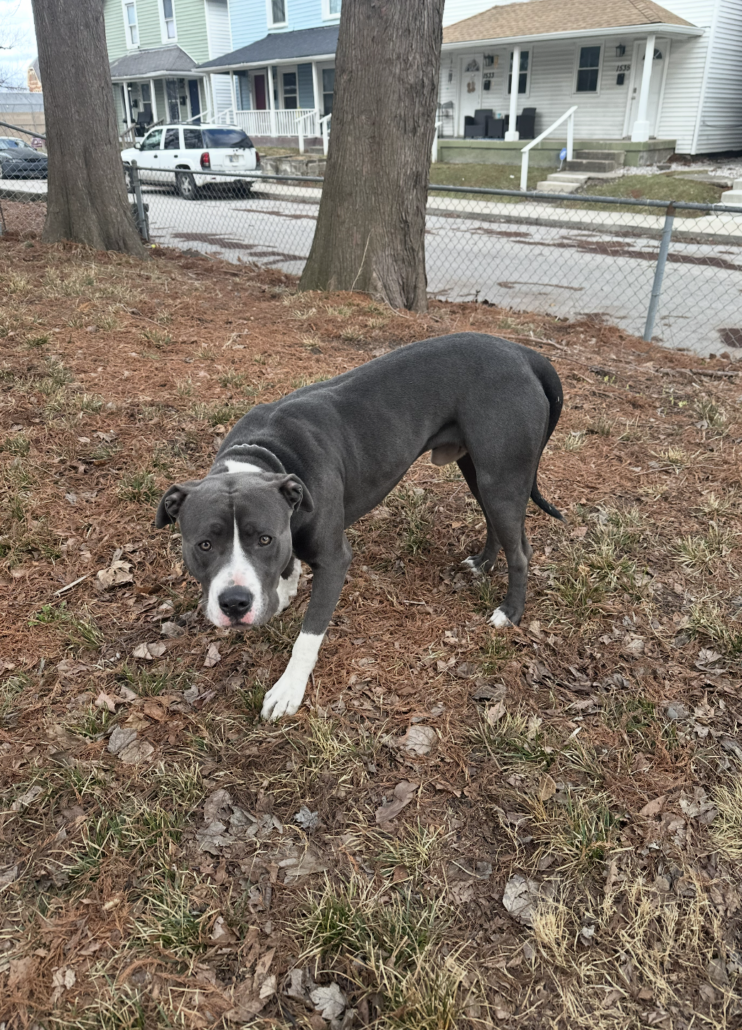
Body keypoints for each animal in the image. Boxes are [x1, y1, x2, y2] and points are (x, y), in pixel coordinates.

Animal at [156, 332, 563, 721]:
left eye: (264, 539)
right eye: (204, 544)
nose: (236, 603)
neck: (266, 455)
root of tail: (522, 352)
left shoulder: (334, 560)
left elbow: (308, 636)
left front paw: (288, 690)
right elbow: (288, 568)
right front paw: (284, 592)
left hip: (500, 475)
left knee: (521, 551)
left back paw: (510, 613)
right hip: (479, 471)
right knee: (496, 523)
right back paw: (483, 563)